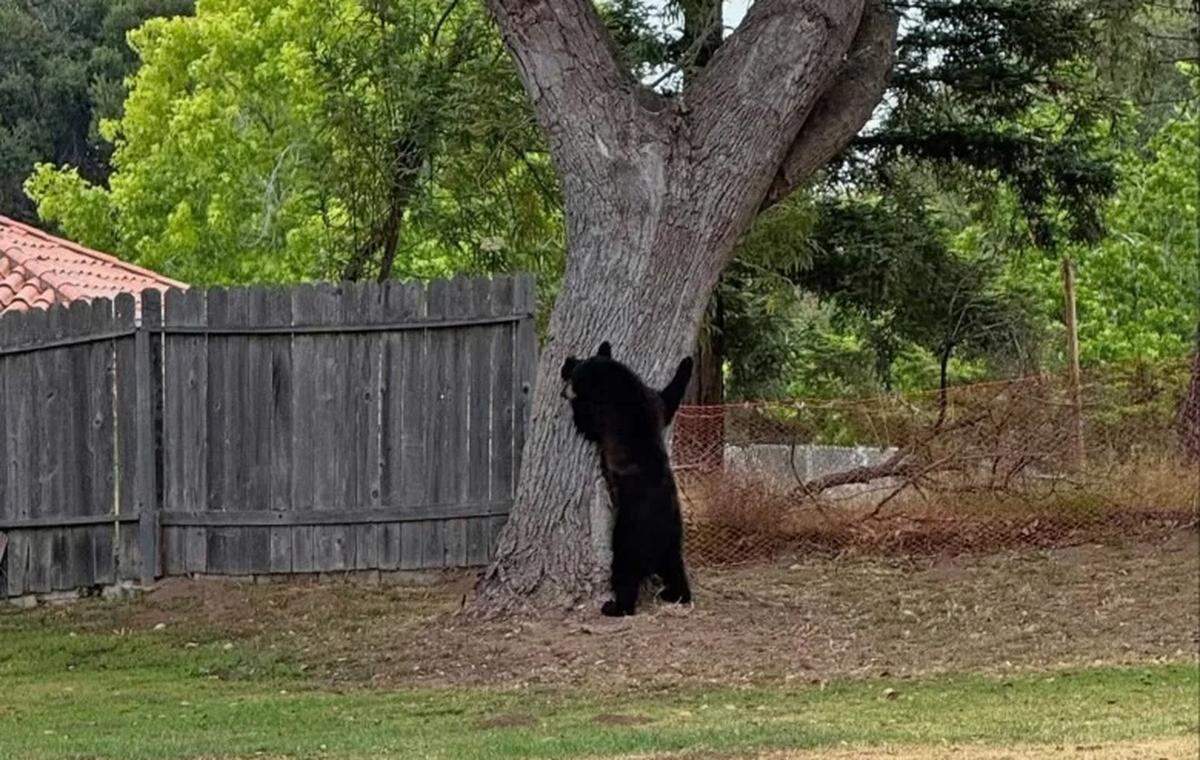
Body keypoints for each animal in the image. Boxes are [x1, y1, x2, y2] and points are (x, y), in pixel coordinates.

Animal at [560, 341, 694, 616]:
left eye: (575, 369)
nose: (566, 363)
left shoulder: (604, 411)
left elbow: (586, 423)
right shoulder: (654, 402)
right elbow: (668, 398)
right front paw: (687, 363)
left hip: (630, 535)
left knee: (625, 571)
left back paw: (615, 606)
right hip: (673, 542)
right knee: (675, 569)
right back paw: (675, 594)